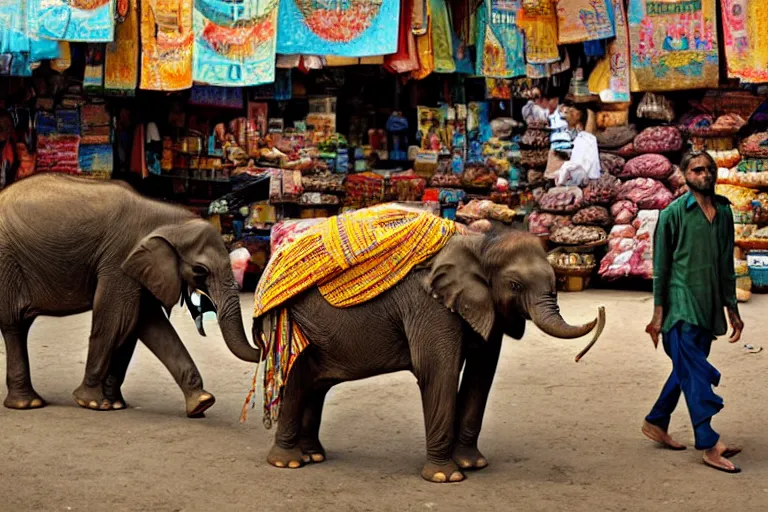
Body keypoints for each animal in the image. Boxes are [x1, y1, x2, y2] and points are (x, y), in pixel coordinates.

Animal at [0, 175, 262, 416]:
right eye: (200, 270)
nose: (260, 335)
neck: (170, 218)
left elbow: (145, 324)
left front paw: (201, 403)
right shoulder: (119, 259)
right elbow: (117, 321)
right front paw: (92, 403)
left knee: (19, 326)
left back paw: (27, 403)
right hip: (7, 262)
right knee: (14, 325)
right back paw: (28, 404)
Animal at [255, 226, 604, 482]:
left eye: (556, 280)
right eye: (516, 285)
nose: (600, 310)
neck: (479, 243)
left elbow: (481, 373)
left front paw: (473, 465)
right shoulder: (429, 306)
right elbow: (438, 371)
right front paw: (446, 477)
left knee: (316, 385)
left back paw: (313, 456)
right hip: (295, 325)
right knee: (298, 381)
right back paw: (289, 463)